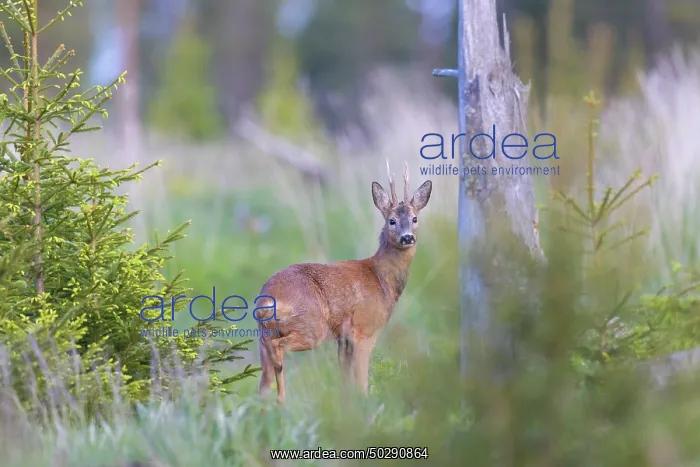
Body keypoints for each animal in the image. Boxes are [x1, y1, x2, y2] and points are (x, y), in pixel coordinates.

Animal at [256, 161, 432, 403]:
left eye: (415, 219)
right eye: (392, 220)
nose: (407, 237)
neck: (381, 279)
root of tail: (266, 299)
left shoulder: (343, 337)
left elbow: (344, 379)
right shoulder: (364, 329)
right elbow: (361, 379)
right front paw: (365, 402)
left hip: (264, 334)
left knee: (263, 374)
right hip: (311, 327)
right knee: (279, 350)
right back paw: (282, 401)